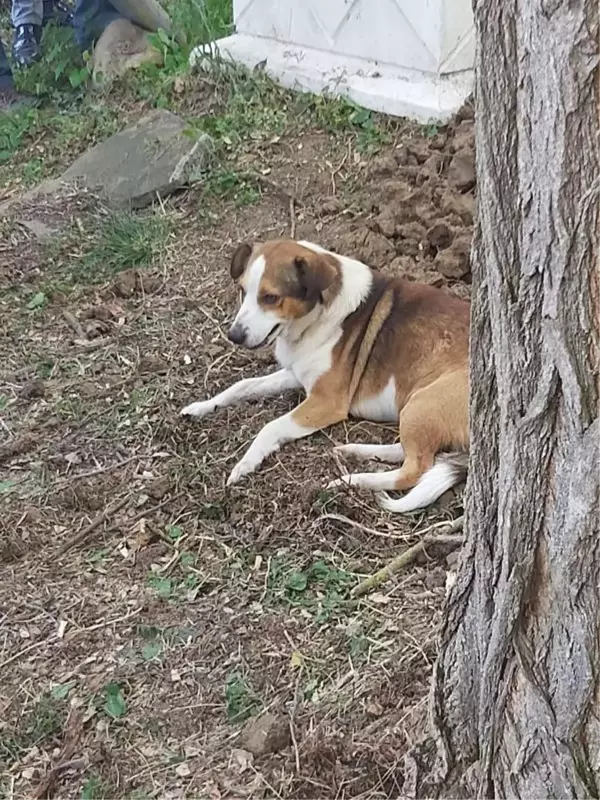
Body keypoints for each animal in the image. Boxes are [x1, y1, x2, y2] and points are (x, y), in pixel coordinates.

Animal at [180, 238, 472, 512]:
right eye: (243, 291)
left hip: (423, 402)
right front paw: (201, 406)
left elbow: (270, 426)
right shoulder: (297, 374)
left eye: (271, 297)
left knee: (416, 469)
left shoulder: (326, 402)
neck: (316, 317)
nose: (234, 336)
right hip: (413, 410)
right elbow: (242, 386)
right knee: (410, 453)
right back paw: (355, 450)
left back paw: (352, 480)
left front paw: (246, 462)